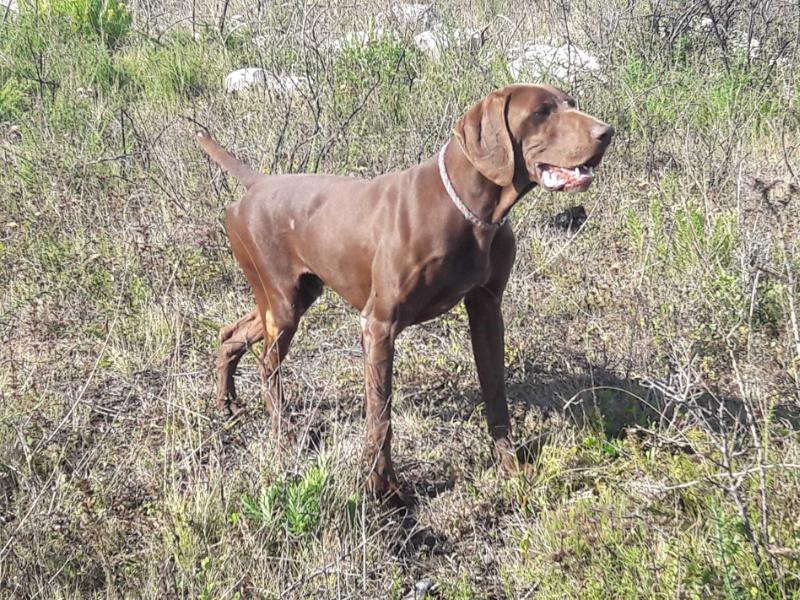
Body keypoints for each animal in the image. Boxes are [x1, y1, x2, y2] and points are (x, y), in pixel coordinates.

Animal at [198, 83, 612, 496]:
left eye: (570, 104)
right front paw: (382, 488)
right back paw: (283, 435)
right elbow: (381, 415)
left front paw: (509, 467)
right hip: (284, 304)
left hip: (293, 297)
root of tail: (258, 183)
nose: (606, 132)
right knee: (268, 365)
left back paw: (227, 403)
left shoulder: (487, 310)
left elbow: (495, 394)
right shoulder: (379, 325)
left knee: (230, 334)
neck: (470, 211)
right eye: (541, 112)